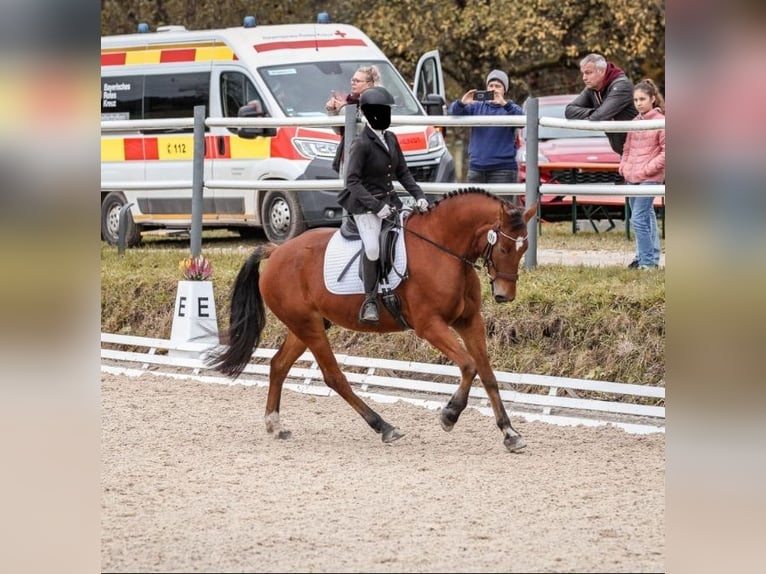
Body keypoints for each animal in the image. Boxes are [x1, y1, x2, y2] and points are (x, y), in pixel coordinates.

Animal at [207, 189, 536, 454]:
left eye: (524, 249)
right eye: (504, 248)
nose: (504, 295)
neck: (443, 249)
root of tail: (276, 251)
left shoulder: (469, 321)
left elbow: (487, 374)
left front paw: (510, 433)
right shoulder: (429, 325)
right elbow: (468, 365)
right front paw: (449, 415)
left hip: (305, 325)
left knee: (278, 365)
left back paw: (275, 424)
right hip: (309, 327)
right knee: (334, 377)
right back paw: (384, 427)